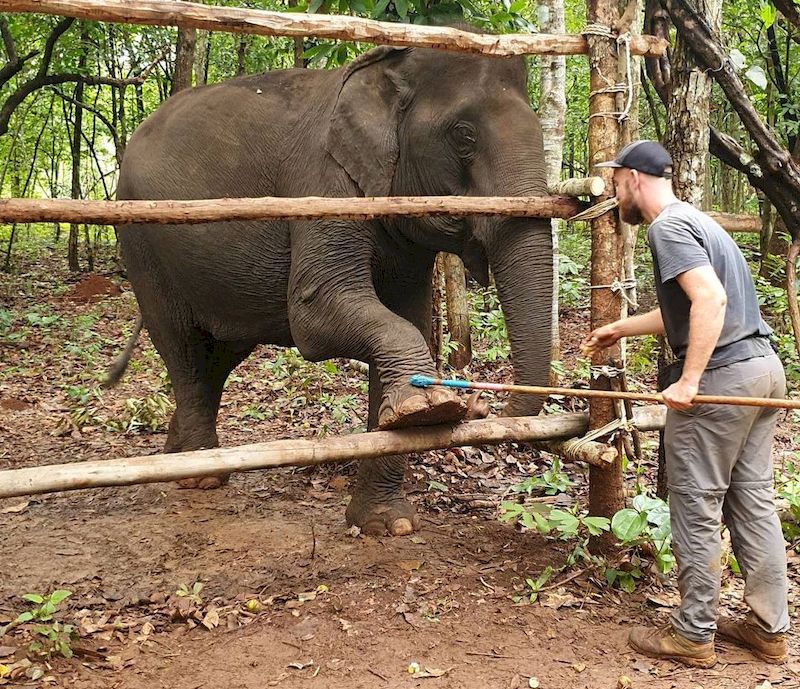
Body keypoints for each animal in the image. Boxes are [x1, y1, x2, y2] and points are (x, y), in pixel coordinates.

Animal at [111, 43, 552, 536]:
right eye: (463, 135)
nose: (481, 406)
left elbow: (410, 320)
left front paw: (388, 523)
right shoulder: (322, 185)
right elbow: (317, 316)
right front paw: (432, 406)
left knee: (218, 357)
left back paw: (175, 455)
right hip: (142, 241)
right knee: (182, 347)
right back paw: (202, 476)